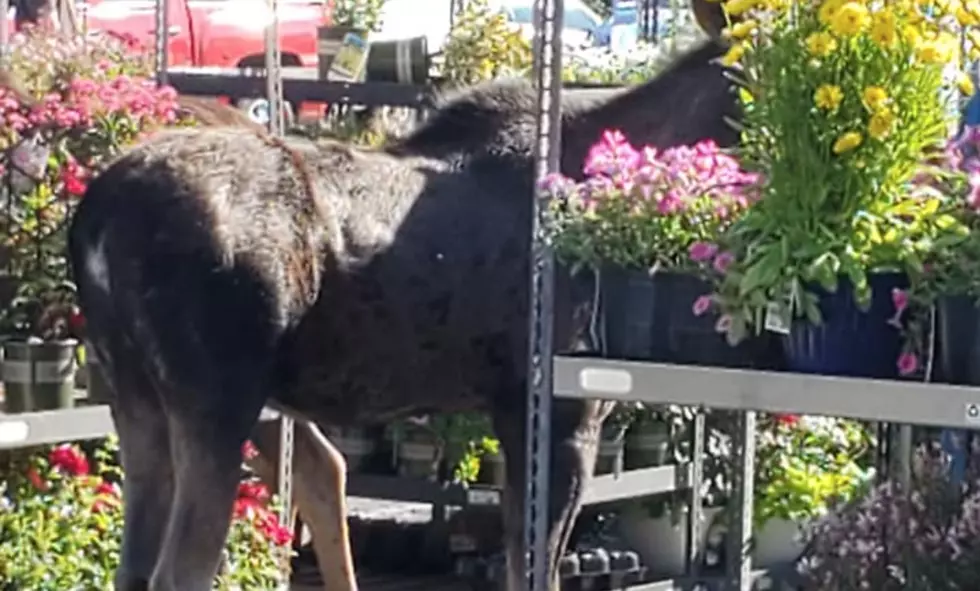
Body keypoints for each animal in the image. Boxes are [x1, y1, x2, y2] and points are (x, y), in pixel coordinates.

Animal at [67, 1, 736, 591]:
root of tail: (94, 217)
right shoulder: (563, 409)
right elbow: (533, 569)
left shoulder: (514, 408)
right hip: (217, 400)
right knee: (182, 570)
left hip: (132, 394)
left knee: (135, 565)